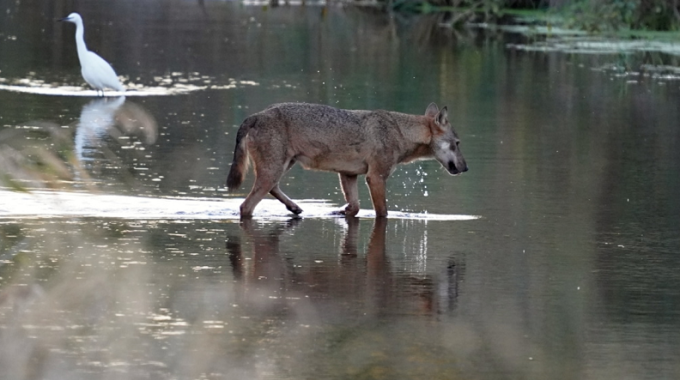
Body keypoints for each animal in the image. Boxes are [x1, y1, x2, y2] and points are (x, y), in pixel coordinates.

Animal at [227, 102, 468, 218]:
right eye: (457, 143)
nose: (466, 168)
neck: (400, 132)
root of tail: (256, 115)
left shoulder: (348, 175)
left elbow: (355, 207)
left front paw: (340, 212)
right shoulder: (375, 178)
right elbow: (382, 212)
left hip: (282, 167)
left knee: (272, 189)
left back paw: (294, 207)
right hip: (273, 171)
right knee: (245, 207)